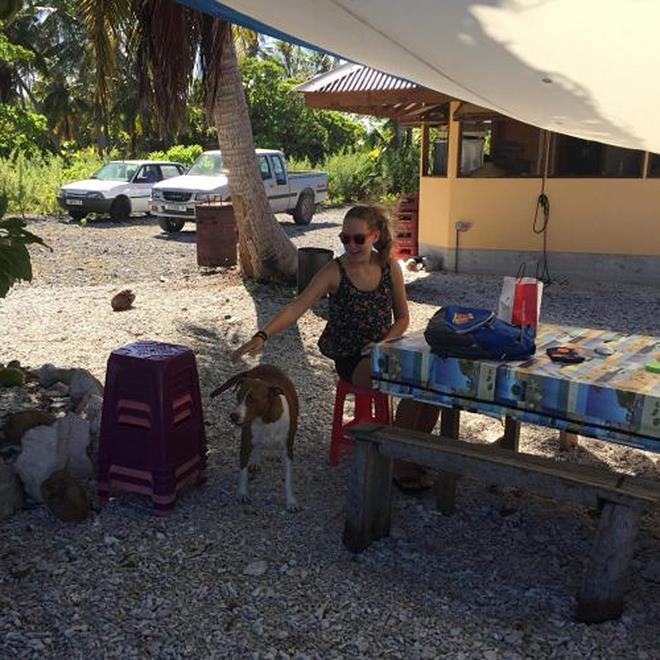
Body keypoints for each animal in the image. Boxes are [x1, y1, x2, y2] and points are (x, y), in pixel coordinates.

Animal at [210, 366, 300, 510]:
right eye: (238, 396)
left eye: (252, 399)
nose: (233, 416)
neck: (265, 420)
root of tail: (260, 366)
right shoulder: (245, 444)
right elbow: (243, 472)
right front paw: (242, 493)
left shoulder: (288, 450)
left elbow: (288, 478)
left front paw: (291, 501)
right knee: (257, 445)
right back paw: (256, 461)